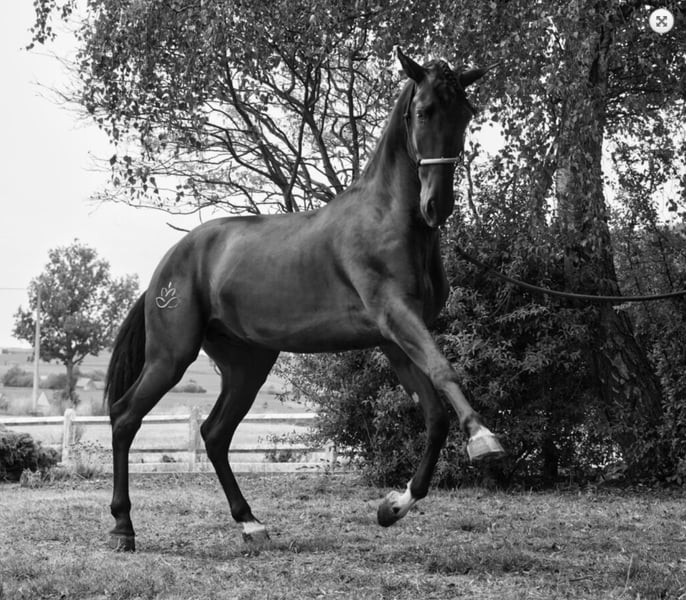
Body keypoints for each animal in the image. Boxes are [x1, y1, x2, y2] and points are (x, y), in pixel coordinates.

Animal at [105, 48, 505, 552]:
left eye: (467, 113)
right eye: (423, 111)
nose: (438, 206)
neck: (388, 219)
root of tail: (168, 265)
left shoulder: (394, 338)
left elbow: (434, 415)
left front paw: (393, 507)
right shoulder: (397, 318)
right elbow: (446, 372)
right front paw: (484, 439)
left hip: (247, 364)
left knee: (214, 434)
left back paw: (250, 524)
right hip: (171, 356)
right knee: (125, 418)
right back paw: (123, 528)